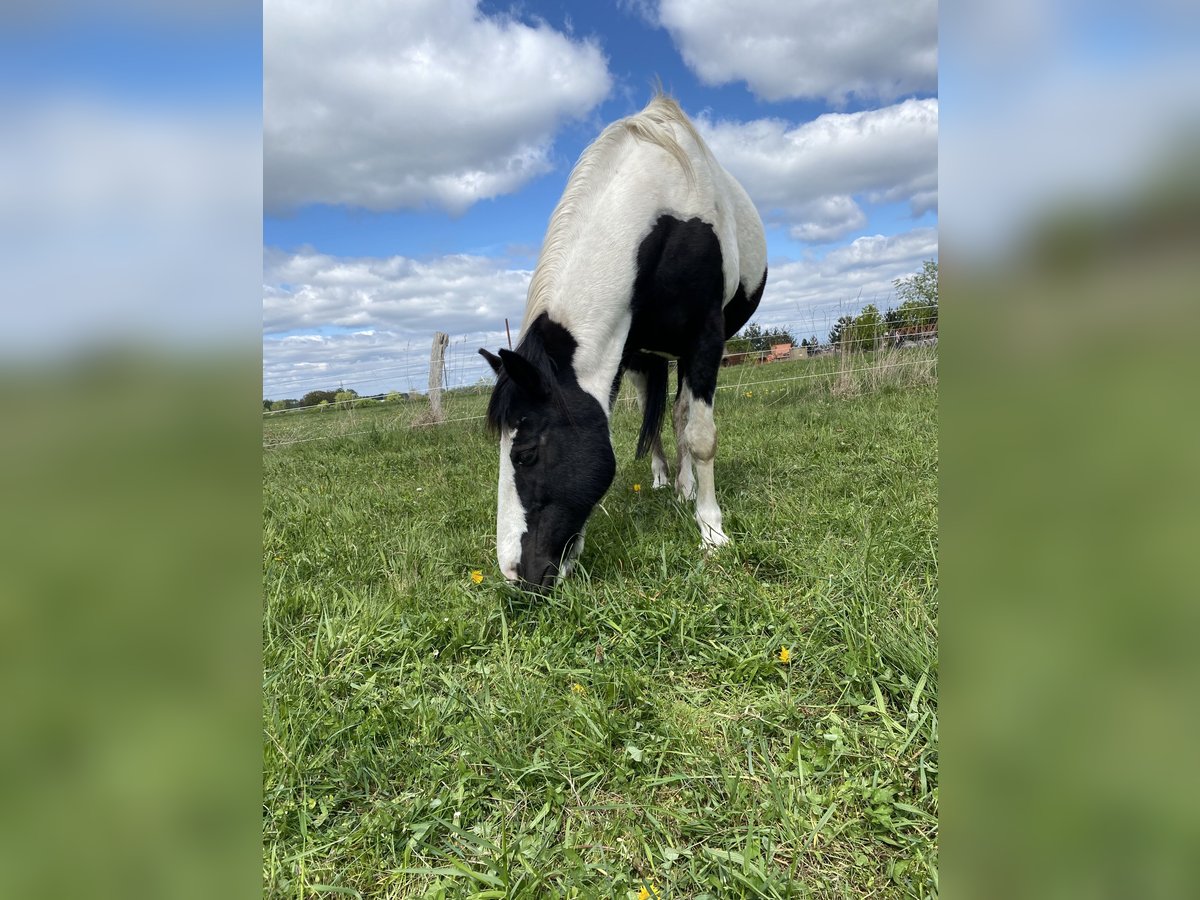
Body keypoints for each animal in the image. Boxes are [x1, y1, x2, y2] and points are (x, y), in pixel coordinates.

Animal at [480, 95, 768, 595]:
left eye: (526, 453)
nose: (516, 575)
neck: (665, 208)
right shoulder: (621, 352)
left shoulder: (705, 339)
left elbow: (700, 435)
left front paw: (712, 530)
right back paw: (667, 481)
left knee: (680, 416)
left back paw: (687, 489)